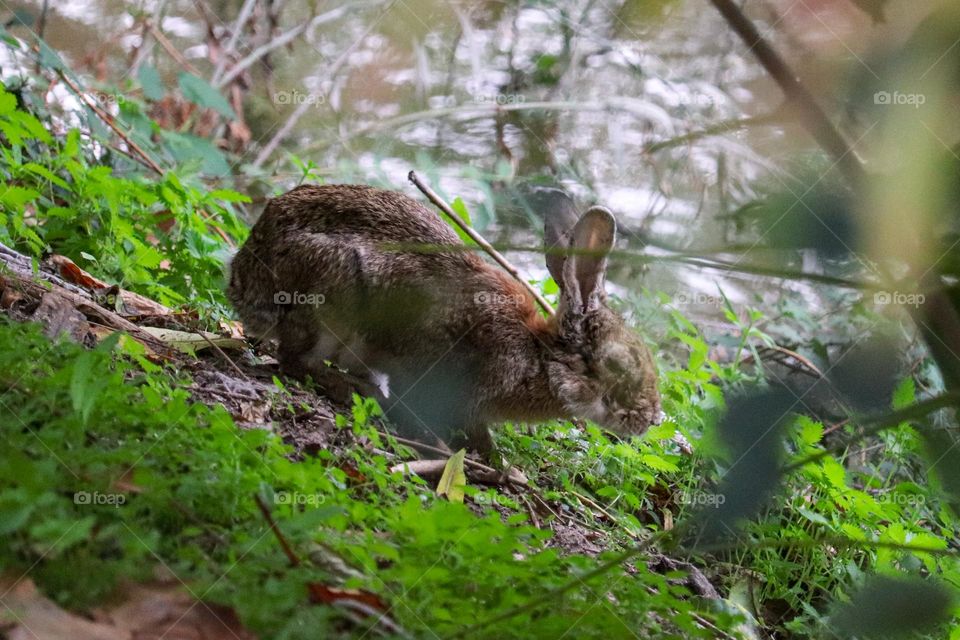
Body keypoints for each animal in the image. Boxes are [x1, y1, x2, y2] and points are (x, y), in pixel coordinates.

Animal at [227, 184, 660, 456]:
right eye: (618, 365)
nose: (653, 419)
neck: (538, 356)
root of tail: (244, 282)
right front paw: (494, 461)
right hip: (331, 302)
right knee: (295, 361)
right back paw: (352, 389)